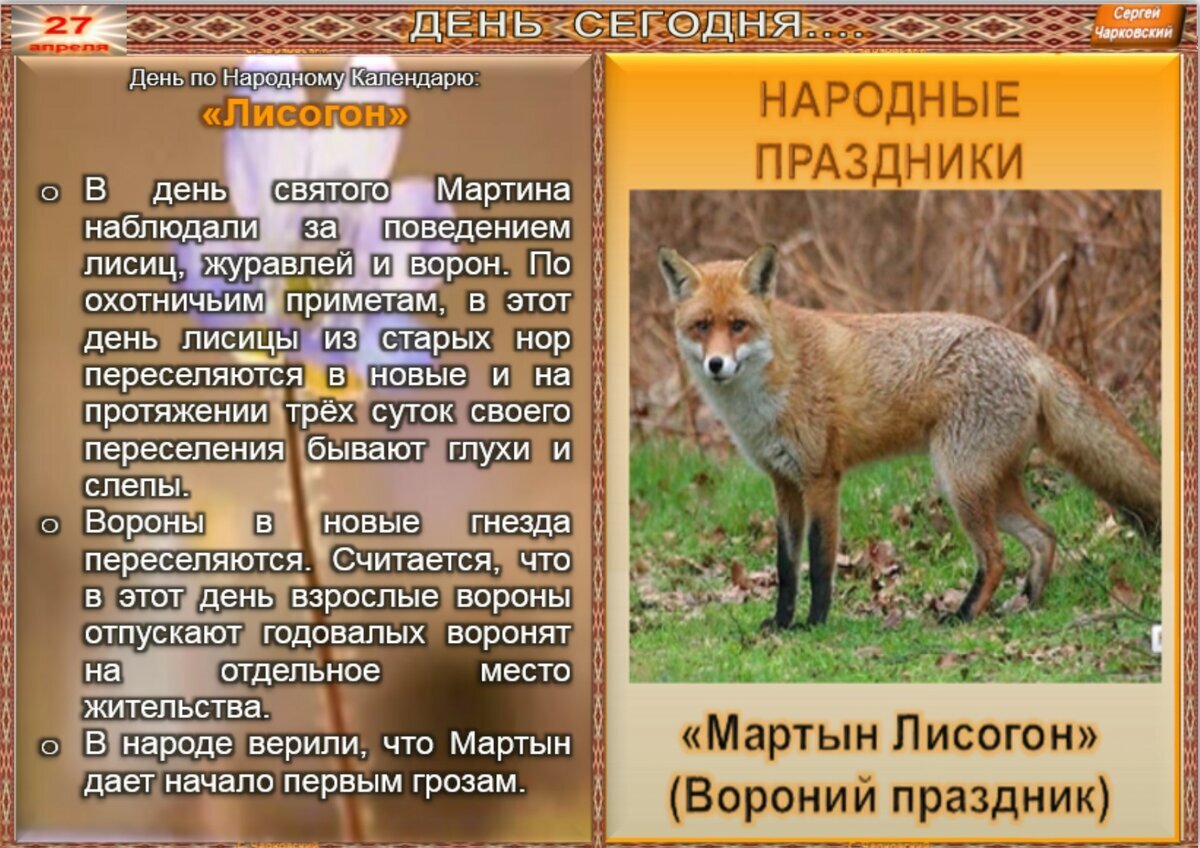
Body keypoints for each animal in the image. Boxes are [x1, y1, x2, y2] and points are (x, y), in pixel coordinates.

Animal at [657, 243, 1161, 628]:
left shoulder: (821, 479)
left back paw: (963, 616)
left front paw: (814, 625)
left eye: (738, 325)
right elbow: (786, 568)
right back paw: (1028, 603)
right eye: (702, 326)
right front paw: (781, 623)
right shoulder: (783, 482)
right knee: (1044, 536)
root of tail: (1026, 346)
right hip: (989, 486)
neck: (772, 383)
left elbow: (819, 565)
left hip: (959, 483)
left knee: (996, 556)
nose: (716, 364)